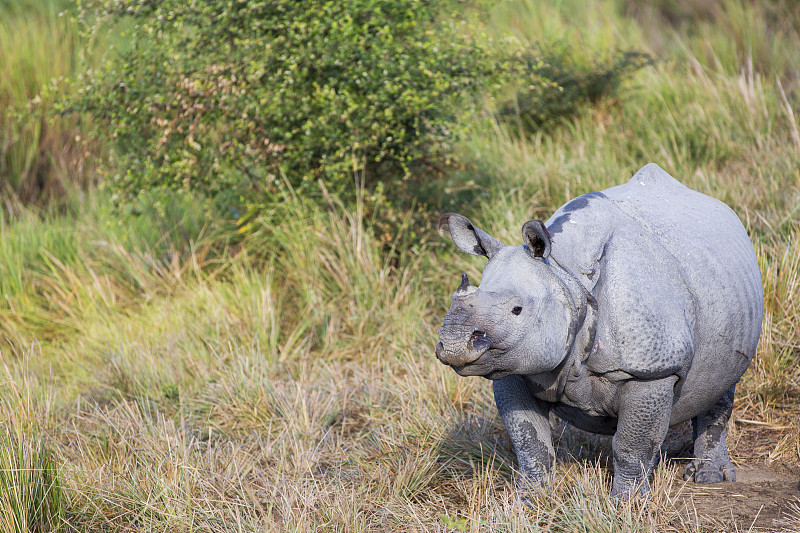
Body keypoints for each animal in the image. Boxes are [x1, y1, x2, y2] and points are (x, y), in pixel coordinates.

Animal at [438, 164, 764, 496]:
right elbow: (529, 440)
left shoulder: (652, 370)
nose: (453, 344)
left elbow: (631, 445)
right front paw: (530, 500)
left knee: (722, 382)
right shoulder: (513, 365)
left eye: (517, 310)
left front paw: (627, 502)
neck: (564, 273)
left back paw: (709, 477)